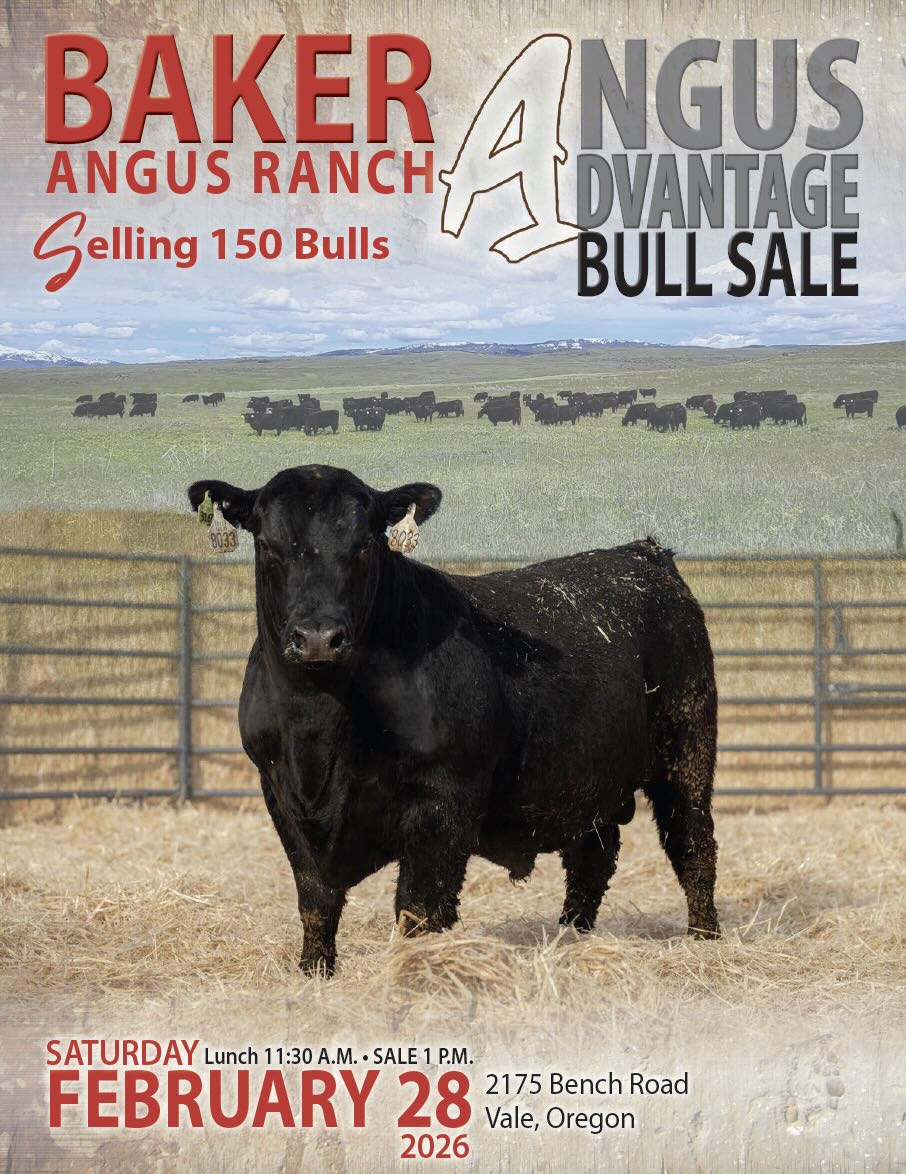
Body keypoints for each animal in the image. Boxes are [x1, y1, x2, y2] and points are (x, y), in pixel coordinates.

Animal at [186, 465, 720, 975]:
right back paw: (570, 939)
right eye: (268, 545)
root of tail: (642, 553)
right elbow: (316, 901)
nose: (318, 637)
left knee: (693, 848)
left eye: (364, 544)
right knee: (593, 859)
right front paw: (314, 975)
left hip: (688, 748)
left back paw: (704, 941)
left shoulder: (444, 799)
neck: (317, 734)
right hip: (590, 782)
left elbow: (420, 909)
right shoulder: (280, 794)